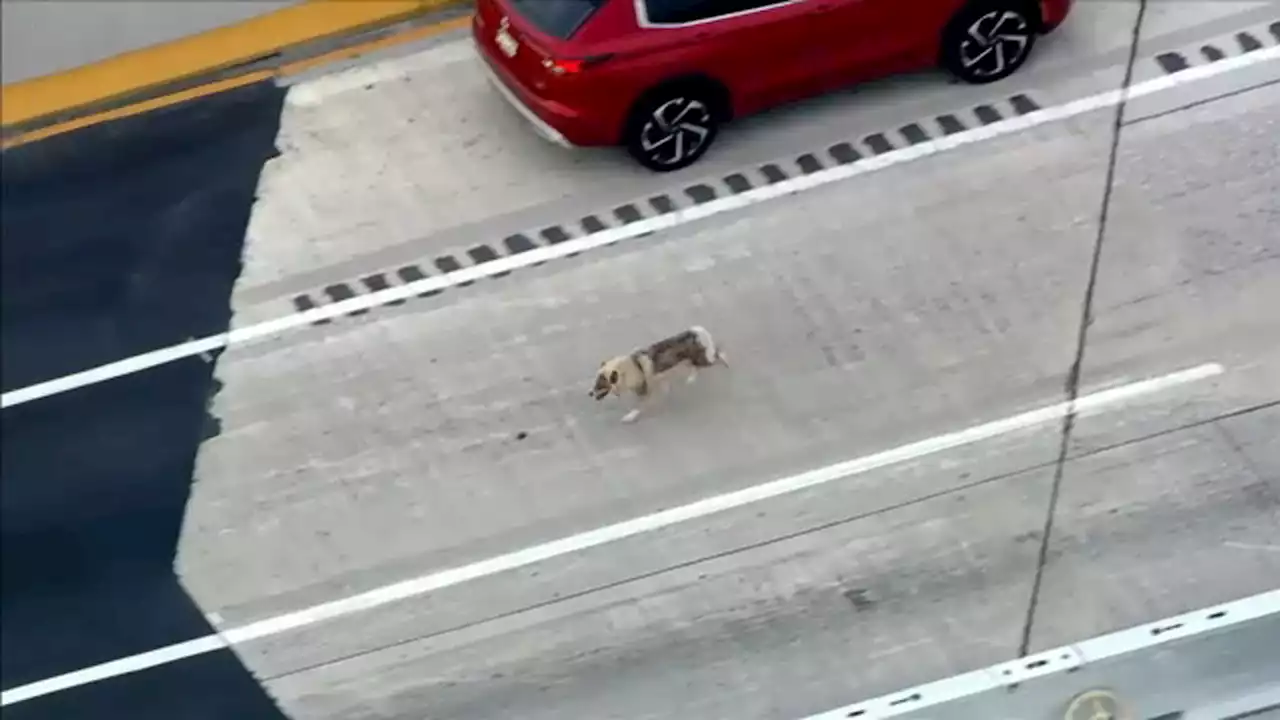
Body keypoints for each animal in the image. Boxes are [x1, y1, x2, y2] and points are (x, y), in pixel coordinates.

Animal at [588, 324, 732, 420]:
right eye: (595, 383)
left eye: (600, 385)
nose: (589, 393)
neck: (627, 369)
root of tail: (697, 333)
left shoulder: (646, 391)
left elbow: (639, 406)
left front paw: (630, 416)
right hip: (690, 360)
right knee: (697, 367)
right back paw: (691, 379)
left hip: (703, 360)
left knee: (717, 356)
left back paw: (725, 360)